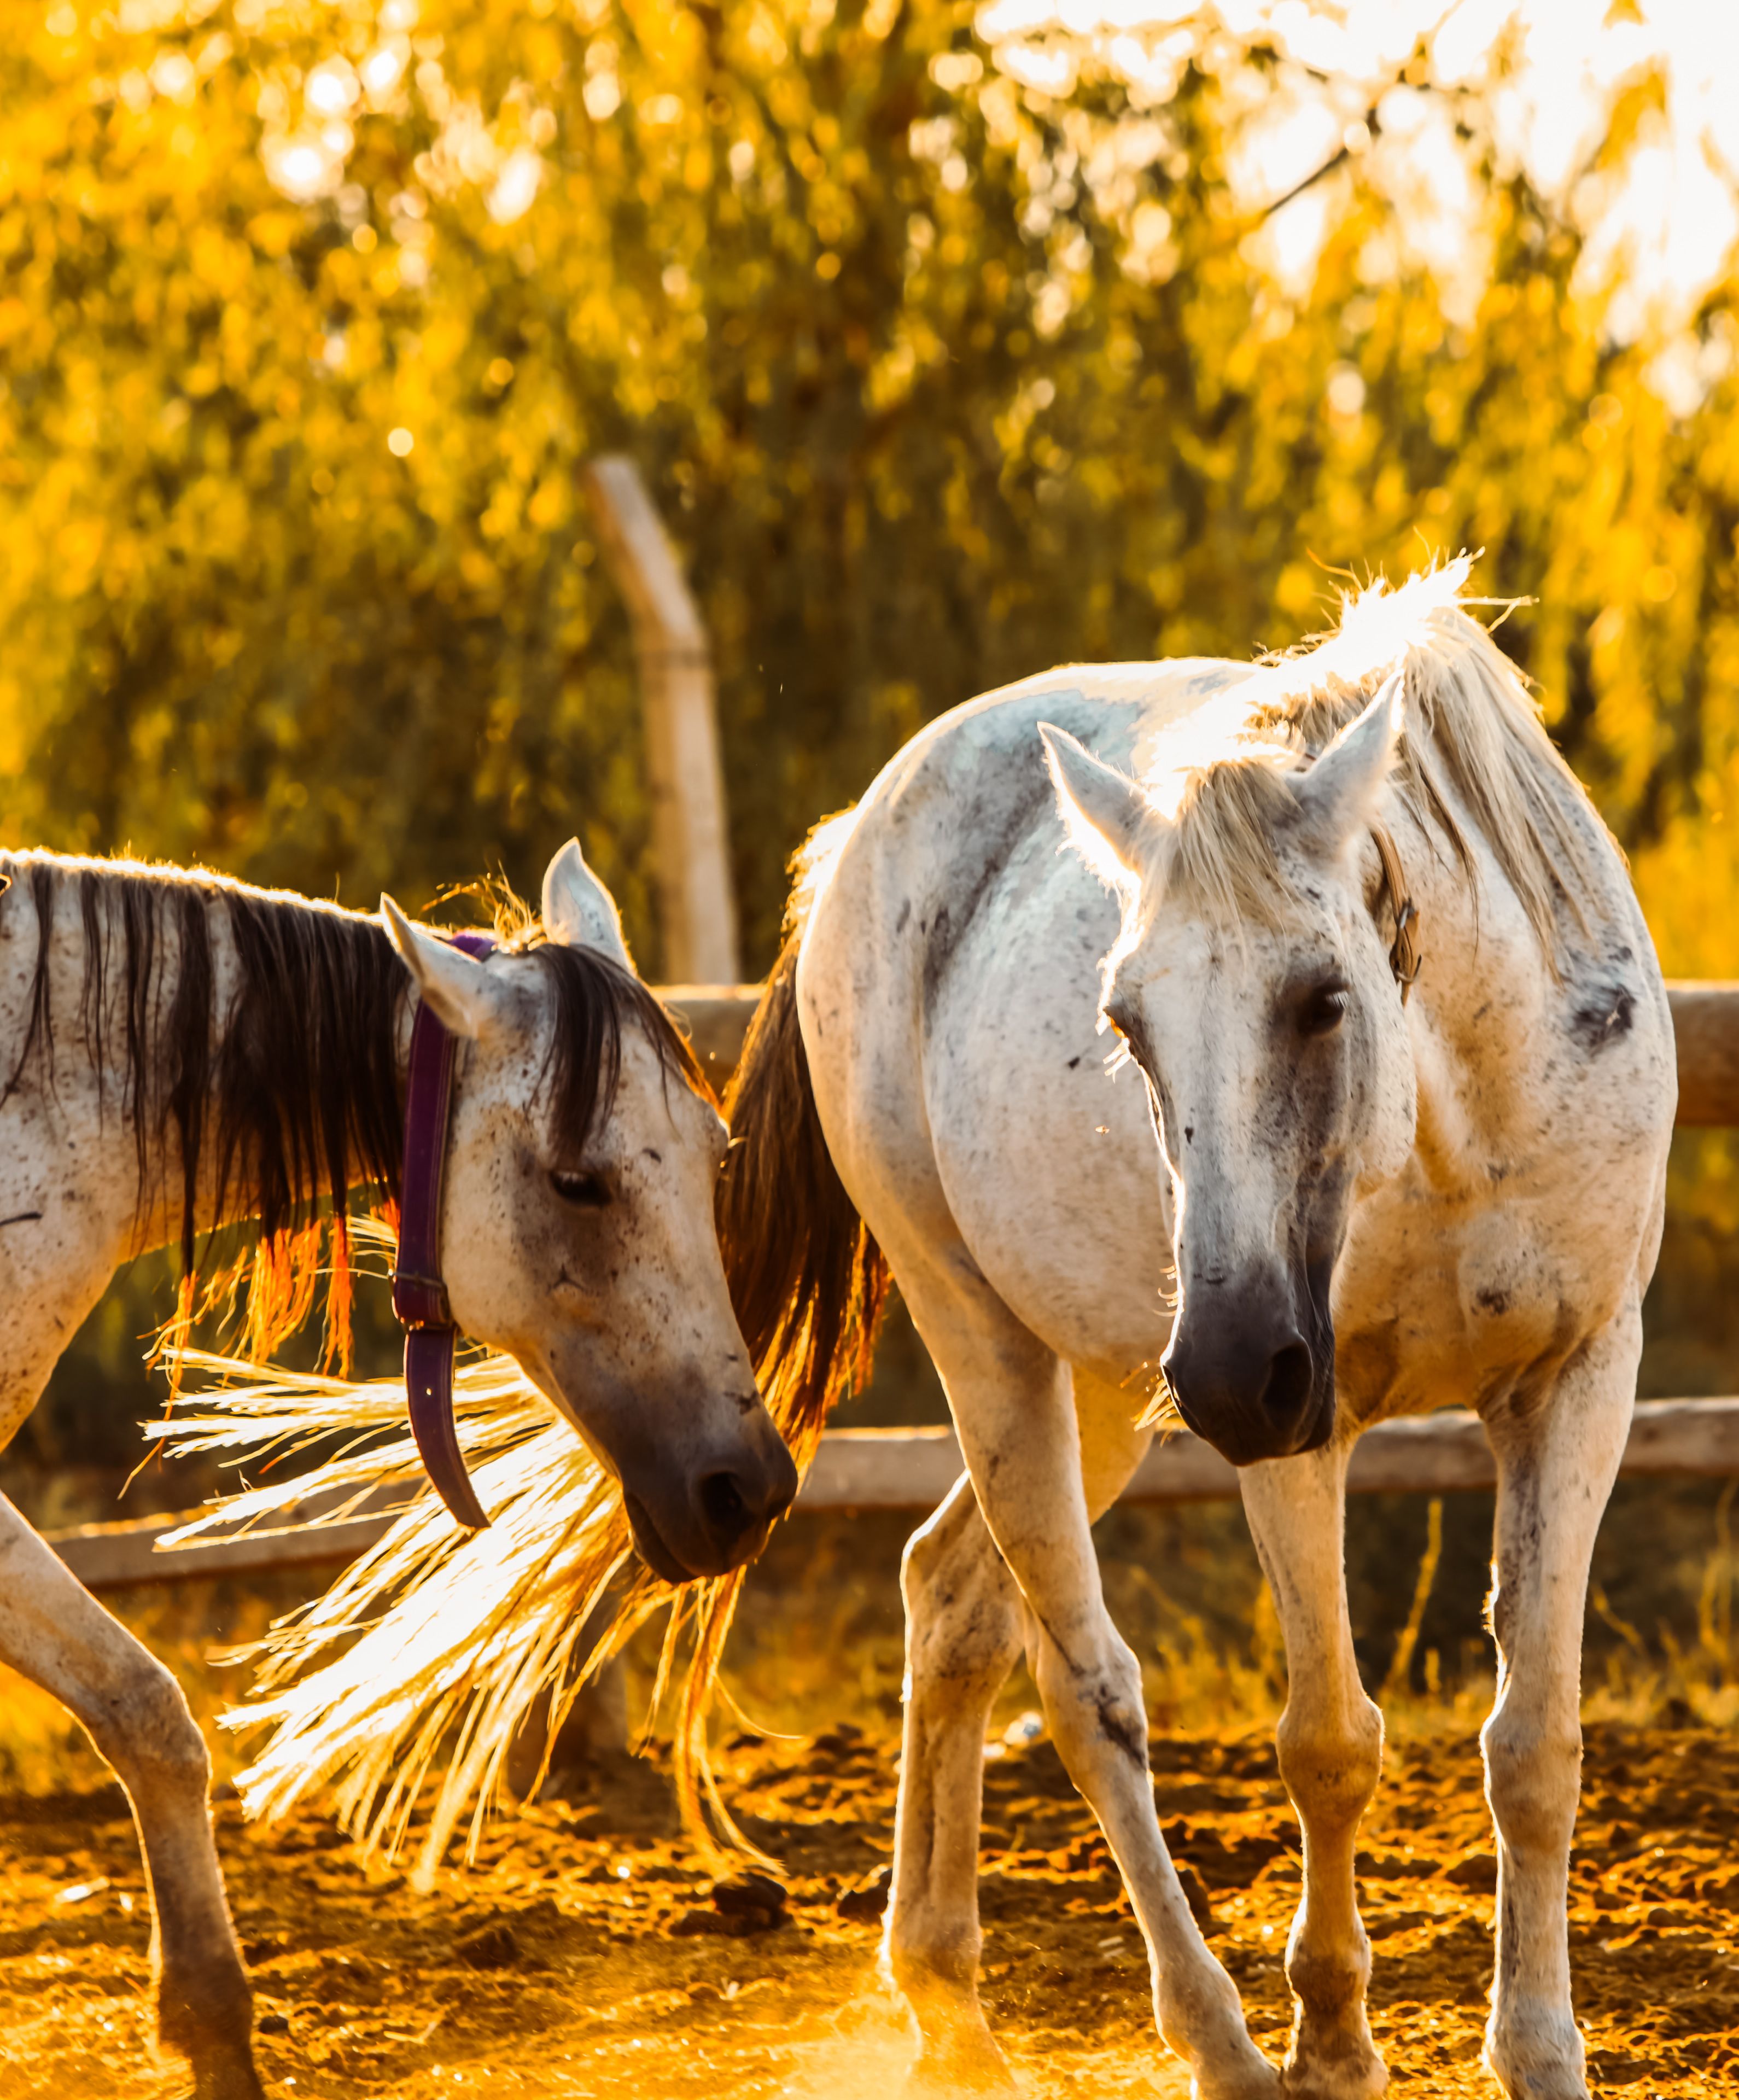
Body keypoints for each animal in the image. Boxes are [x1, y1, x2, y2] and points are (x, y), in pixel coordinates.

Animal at [0, 839, 796, 2100]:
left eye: (715, 1157)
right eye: (578, 1181)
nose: (748, 1493)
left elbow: (146, 1713)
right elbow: (150, 1711)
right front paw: (214, 2022)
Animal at [718, 562, 1672, 2100]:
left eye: (1322, 997)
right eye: (1126, 1021)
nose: (1227, 1369)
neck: (1455, 1123)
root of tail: (862, 830)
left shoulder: (1577, 1382)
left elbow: (1535, 1743)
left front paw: (1537, 2053)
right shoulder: (1306, 1424)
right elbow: (1327, 1740)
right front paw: (1331, 2039)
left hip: (1114, 1386)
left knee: (952, 1598)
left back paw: (944, 1995)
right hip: (997, 1347)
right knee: (1080, 1681)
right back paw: (1215, 2036)